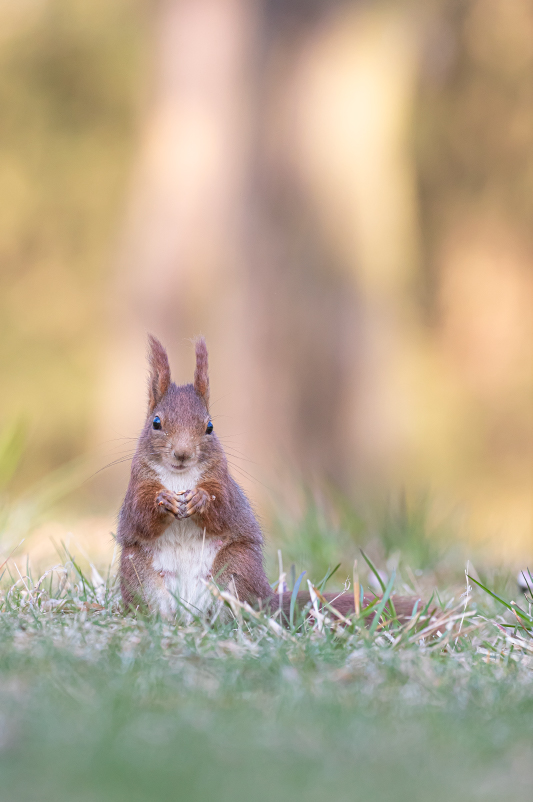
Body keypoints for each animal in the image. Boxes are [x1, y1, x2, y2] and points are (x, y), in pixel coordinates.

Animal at [117, 336, 419, 624]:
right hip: (137, 572)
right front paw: (163, 500)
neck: (180, 478)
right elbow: (140, 516)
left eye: (210, 427)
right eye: (156, 423)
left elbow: (223, 509)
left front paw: (201, 499)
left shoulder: (222, 482)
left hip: (236, 567)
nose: (182, 454)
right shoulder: (137, 485)